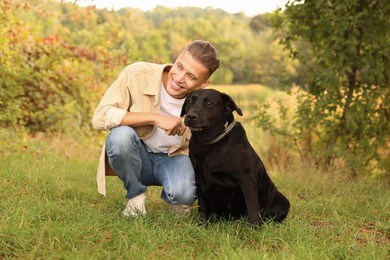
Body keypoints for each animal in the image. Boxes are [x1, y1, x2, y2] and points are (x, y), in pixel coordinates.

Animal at [181, 89, 290, 225]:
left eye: (209, 103)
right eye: (190, 101)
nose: (191, 116)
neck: (210, 143)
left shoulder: (246, 179)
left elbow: (252, 205)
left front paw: (255, 226)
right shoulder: (199, 178)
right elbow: (202, 205)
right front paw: (202, 224)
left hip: (283, 202)